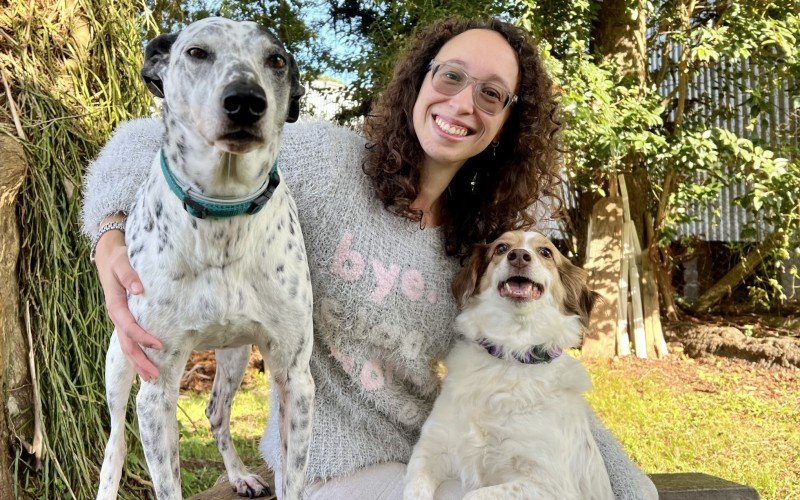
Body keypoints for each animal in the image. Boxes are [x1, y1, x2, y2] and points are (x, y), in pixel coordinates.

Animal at [406, 230, 612, 500]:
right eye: (501, 248)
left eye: (545, 252)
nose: (519, 256)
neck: (511, 353)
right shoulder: (430, 449)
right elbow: (415, 488)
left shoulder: (551, 485)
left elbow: (473, 495)